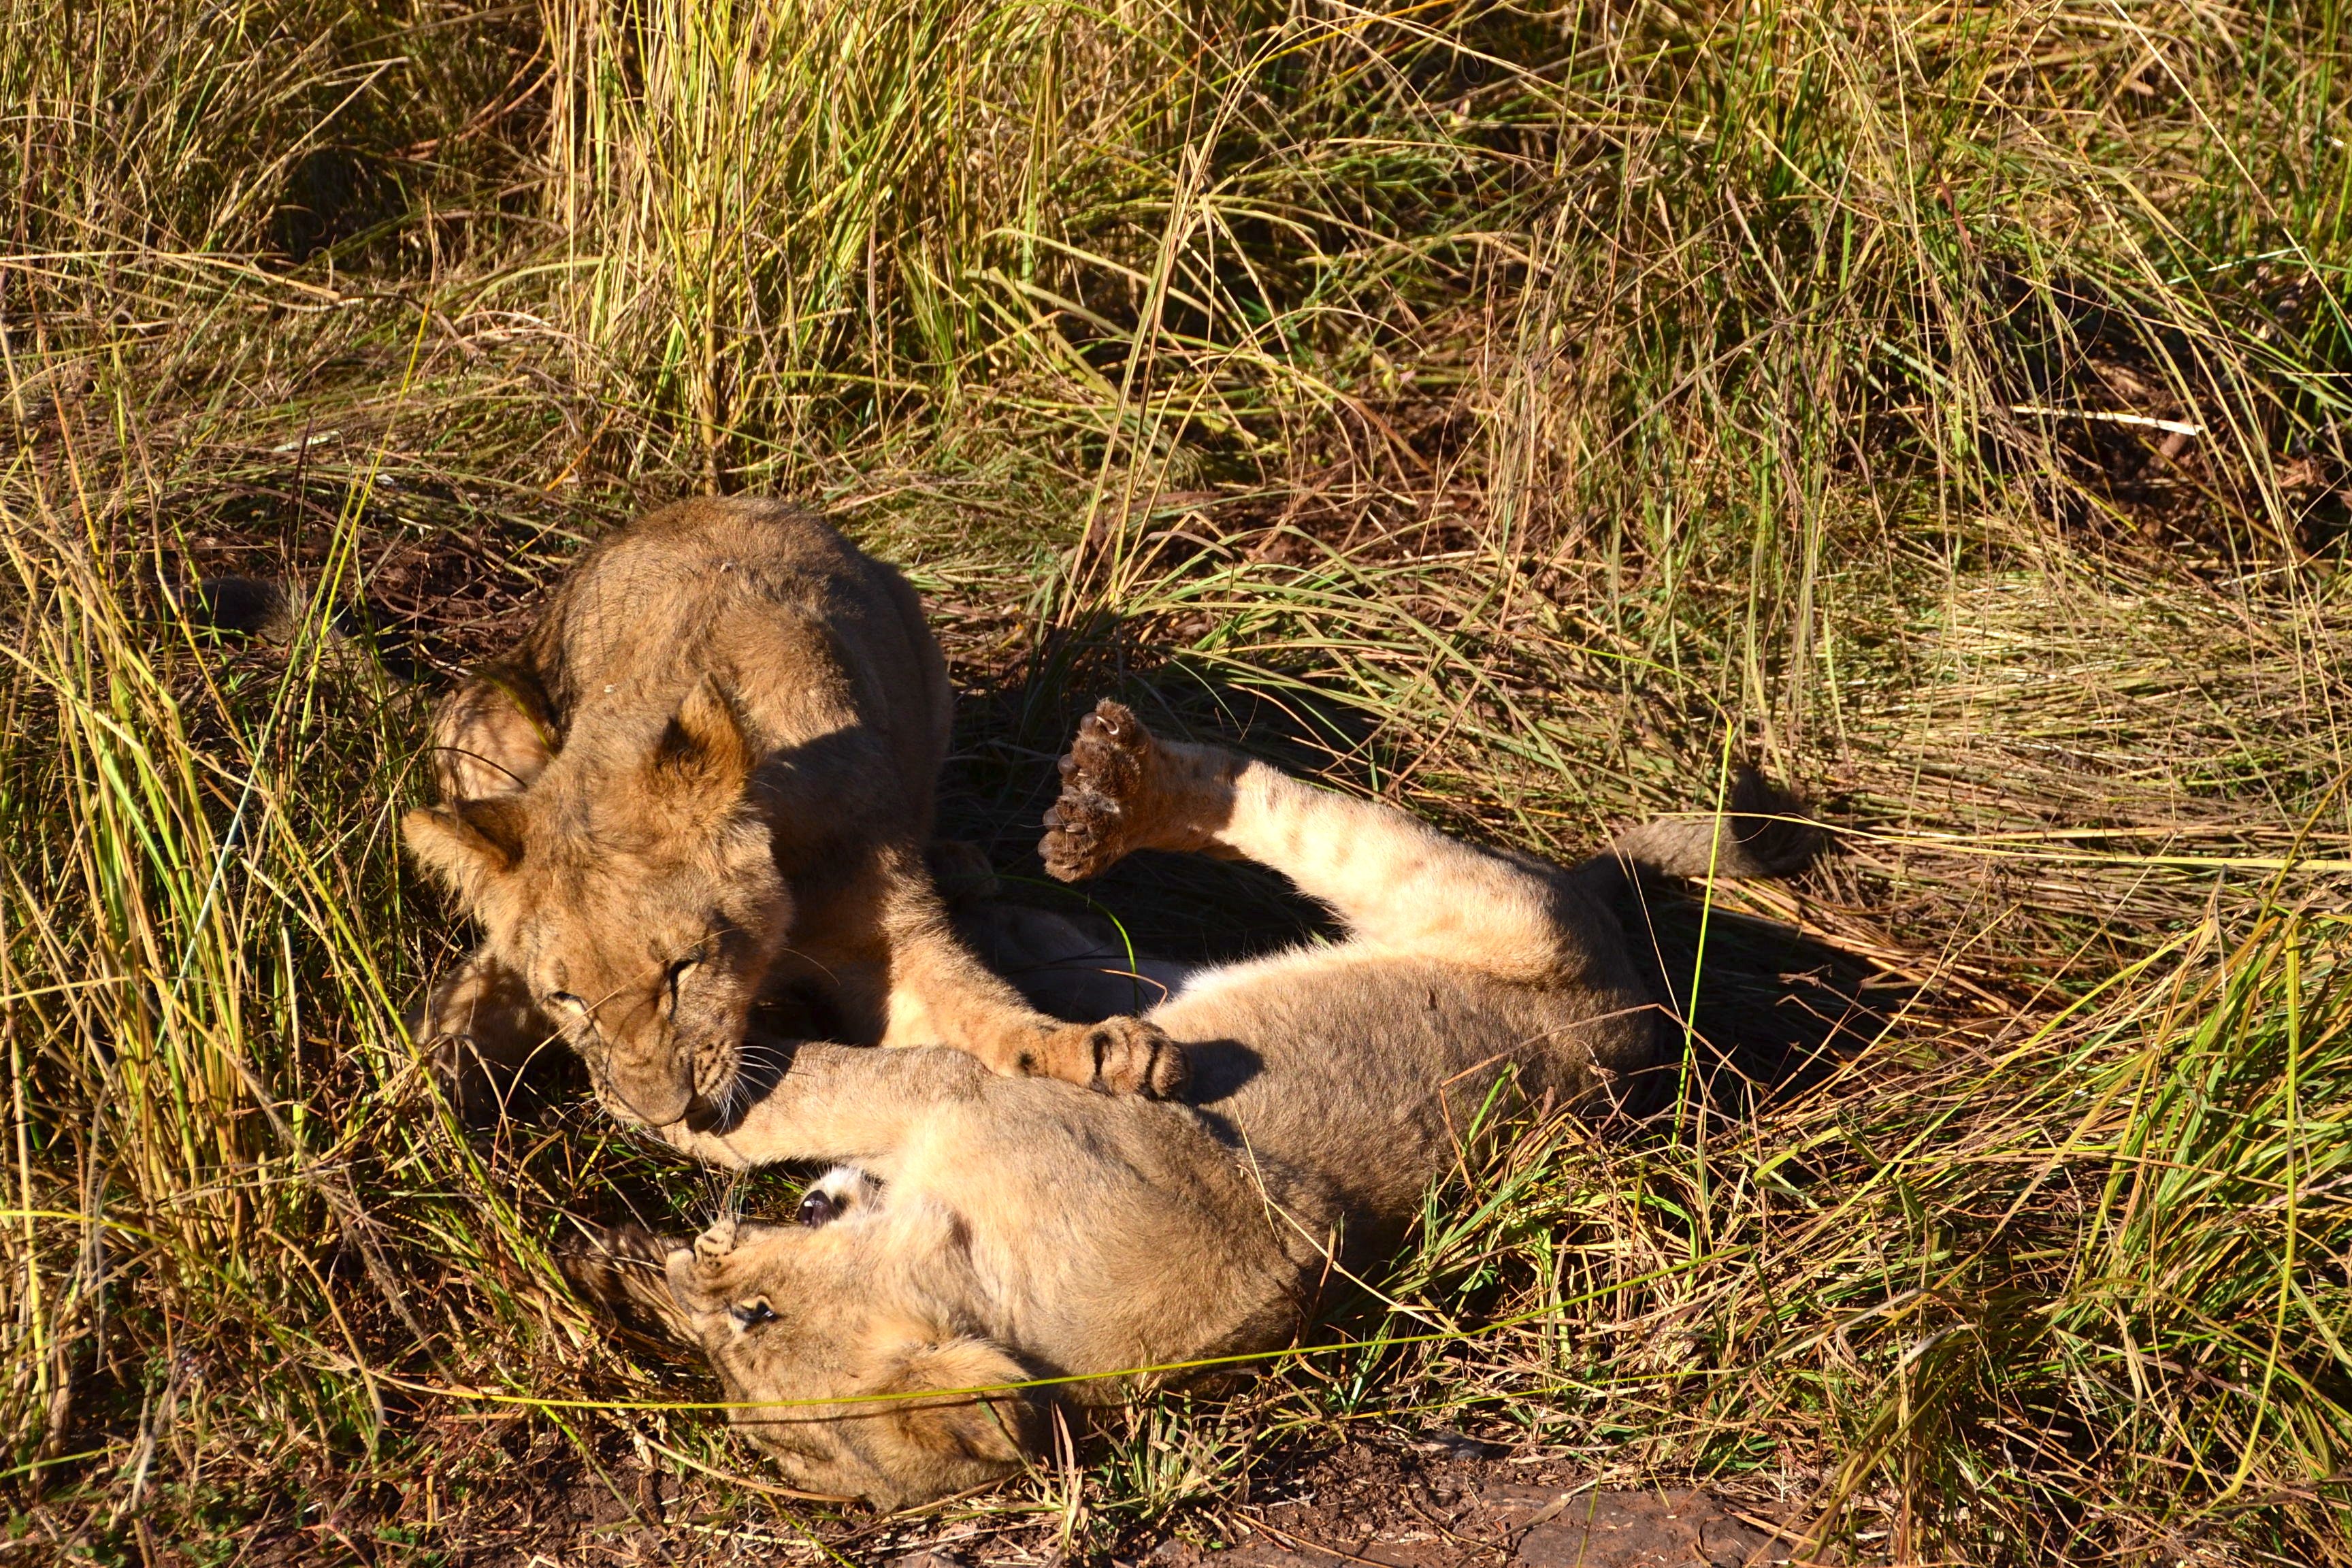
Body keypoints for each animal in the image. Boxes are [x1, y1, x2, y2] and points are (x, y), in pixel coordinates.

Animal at [402, 499, 1185, 1130]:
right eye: (566, 997)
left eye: (684, 969)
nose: (665, 1116)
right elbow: (476, 990)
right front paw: (421, 1088)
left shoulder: (887, 939)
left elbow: (984, 1013)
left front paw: (1098, 1053)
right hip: (471, 708)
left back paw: (962, 865)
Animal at [563, 699, 1813, 1509]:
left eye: (755, 1316)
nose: (697, 1261)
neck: (1008, 1311)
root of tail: (1639, 1000)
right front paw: (617, 1262)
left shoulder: (970, 1094)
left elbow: (818, 1091)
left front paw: (663, 1104)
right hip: (1188, 991)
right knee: (1100, 966)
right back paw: (1008, 893)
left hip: (1484, 903)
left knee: (1281, 809)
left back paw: (1114, 793)